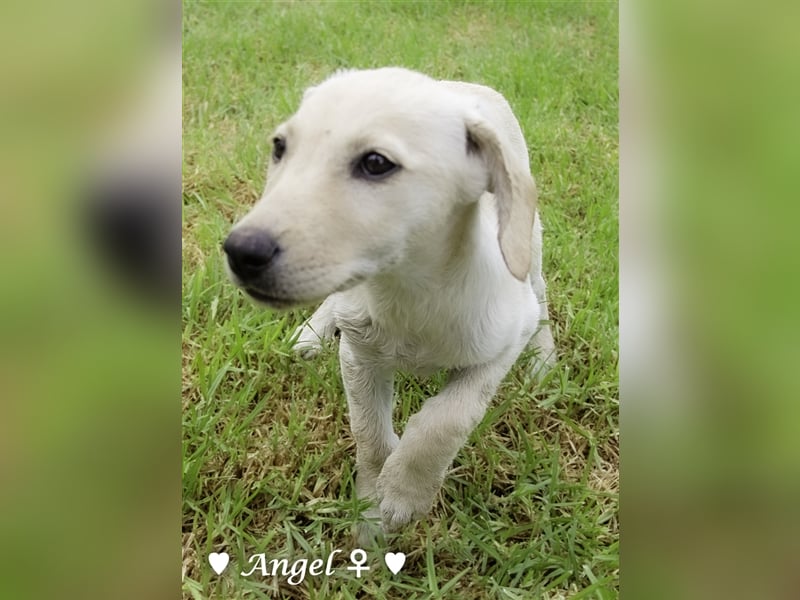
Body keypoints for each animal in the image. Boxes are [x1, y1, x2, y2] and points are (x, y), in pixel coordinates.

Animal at [222, 67, 552, 536]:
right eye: (280, 147)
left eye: (376, 163)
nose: (241, 251)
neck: (408, 289)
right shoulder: (359, 357)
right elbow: (370, 435)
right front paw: (371, 511)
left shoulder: (501, 345)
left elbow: (446, 420)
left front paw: (403, 493)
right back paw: (312, 331)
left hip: (527, 246)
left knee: (541, 299)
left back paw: (545, 359)